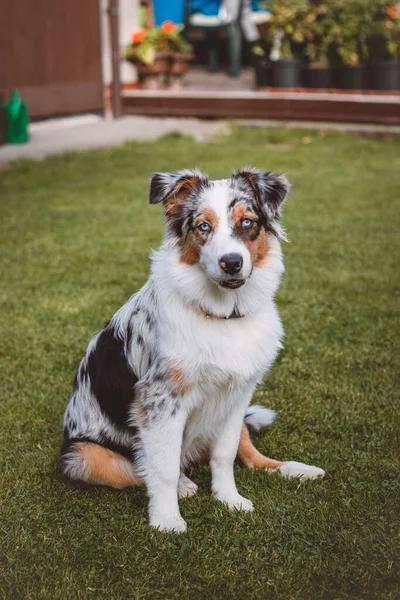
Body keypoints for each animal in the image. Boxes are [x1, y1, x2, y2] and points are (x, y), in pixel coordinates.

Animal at [62, 166, 324, 532]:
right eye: (203, 226)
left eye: (247, 222)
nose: (231, 262)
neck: (224, 315)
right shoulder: (159, 401)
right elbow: (163, 468)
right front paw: (167, 520)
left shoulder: (237, 393)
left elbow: (225, 453)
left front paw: (230, 500)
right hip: (82, 455)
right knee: (139, 467)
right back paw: (184, 485)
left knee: (251, 454)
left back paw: (297, 470)